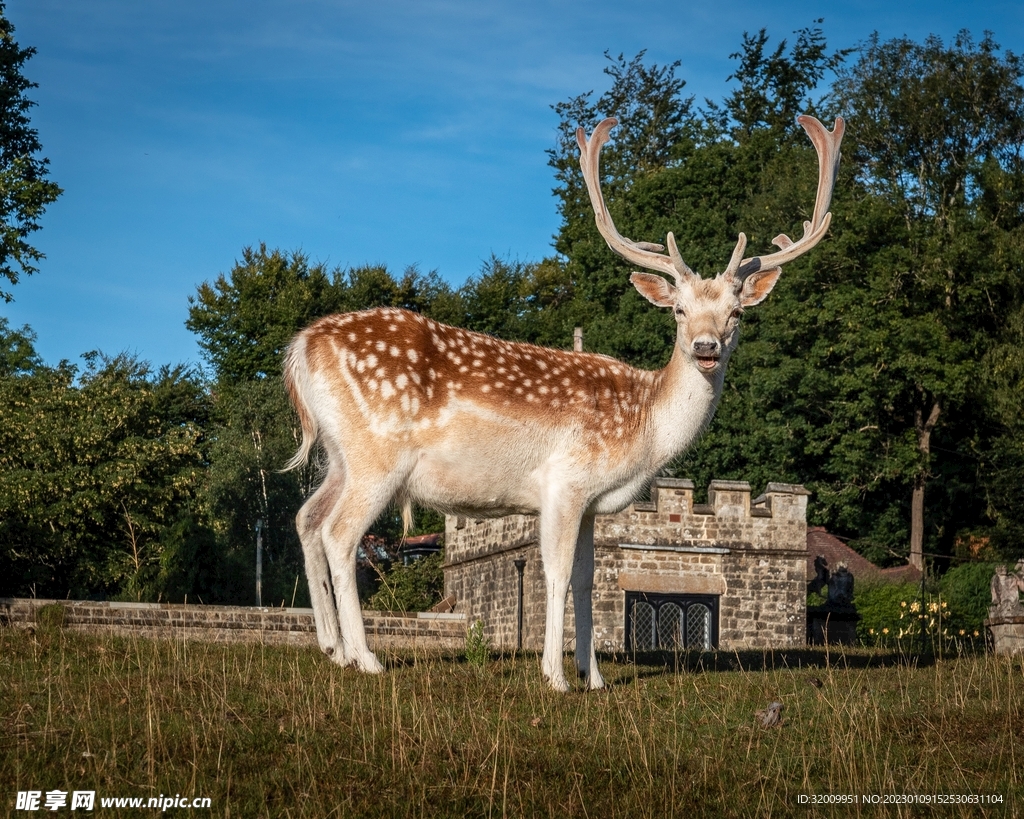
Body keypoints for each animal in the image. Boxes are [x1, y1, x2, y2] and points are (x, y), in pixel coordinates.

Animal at [283, 114, 844, 691]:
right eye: (679, 311)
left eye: (737, 313)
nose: (706, 348)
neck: (644, 430)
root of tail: (300, 350)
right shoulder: (564, 483)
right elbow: (554, 576)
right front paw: (555, 676)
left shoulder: (594, 503)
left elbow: (586, 579)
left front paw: (593, 676)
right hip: (378, 455)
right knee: (339, 533)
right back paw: (364, 656)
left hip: (340, 455)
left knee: (306, 519)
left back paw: (332, 647)